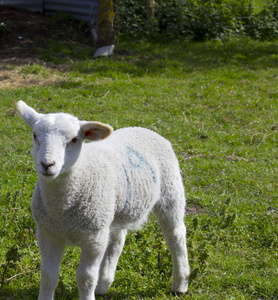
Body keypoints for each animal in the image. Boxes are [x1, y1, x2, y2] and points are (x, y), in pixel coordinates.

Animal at [17, 101, 190, 300]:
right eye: (35, 135)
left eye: (74, 139)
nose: (47, 164)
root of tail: (144, 129)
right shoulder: (47, 233)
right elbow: (47, 274)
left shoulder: (94, 237)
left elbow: (85, 277)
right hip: (114, 209)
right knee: (117, 239)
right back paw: (103, 283)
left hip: (170, 191)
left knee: (175, 235)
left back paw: (180, 284)